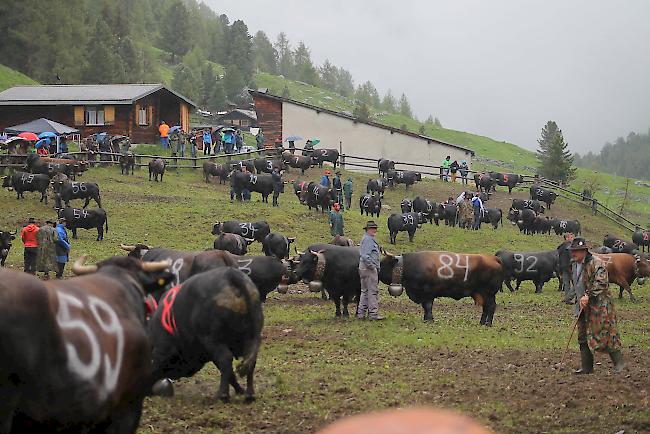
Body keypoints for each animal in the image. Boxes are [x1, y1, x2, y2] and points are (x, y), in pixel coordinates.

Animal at [148, 268, 262, 404]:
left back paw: (223, 395)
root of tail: (231, 275)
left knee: (226, 360)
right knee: (250, 362)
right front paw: (240, 390)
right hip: (251, 337)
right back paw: (249, 395)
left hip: (213, 340)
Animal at [374, 251, 502, 326]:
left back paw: (488, 324)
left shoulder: (427, 293)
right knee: (486, 307)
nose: (377, 271)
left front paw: (429, 320)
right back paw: (481, 323)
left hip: (488, 293)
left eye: (382, 263)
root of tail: (493, 258)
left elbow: (427, 306)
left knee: (491, 306)